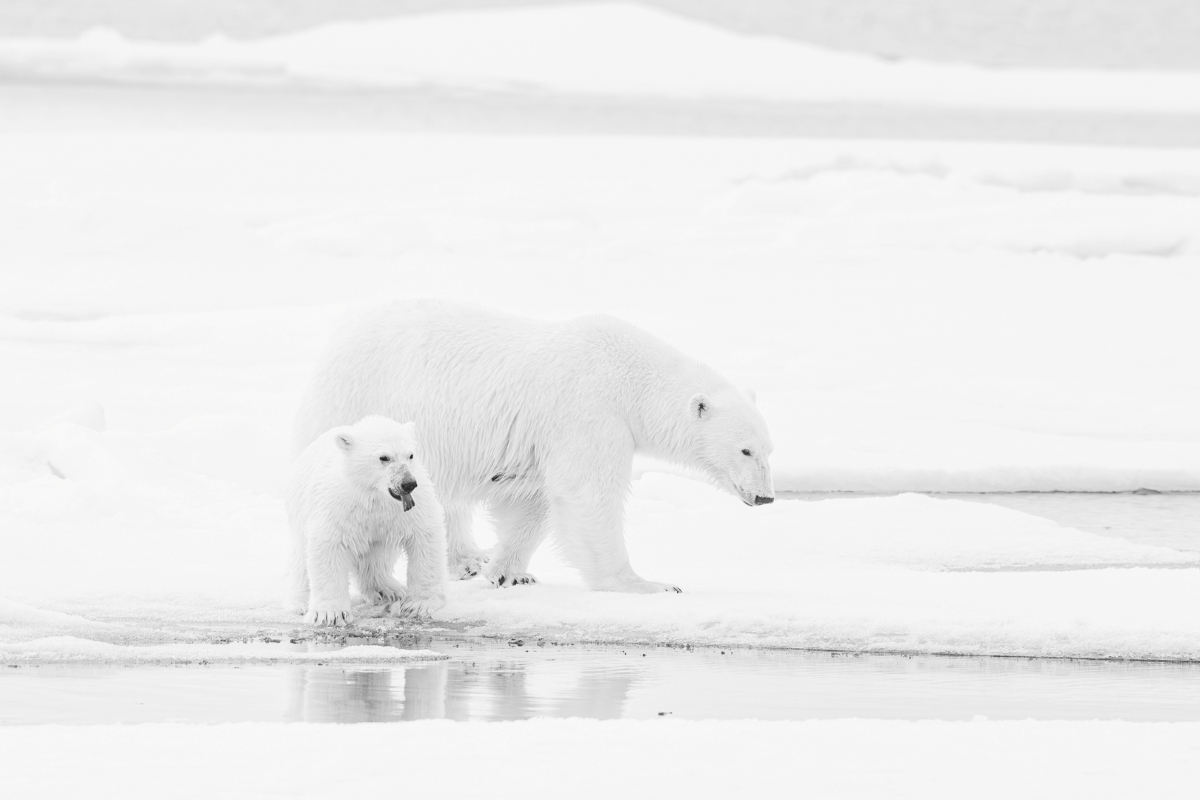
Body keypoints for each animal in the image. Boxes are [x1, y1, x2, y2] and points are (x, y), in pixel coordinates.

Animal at [285, 415, 448, 626]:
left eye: (411, 455)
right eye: (384, 457)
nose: (408, 484)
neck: (376, 495)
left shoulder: (409, 509)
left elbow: (425, 536)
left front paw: (418, 605)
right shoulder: (338, 505)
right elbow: (329, 545)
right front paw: (330, 613)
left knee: (376, 555)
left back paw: (389, 589)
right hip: (299, 510)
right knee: (300, 558)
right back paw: (300, 602)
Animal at [293, 299, 775, 594]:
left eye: (769, 449)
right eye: (745, 450)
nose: (766, 496)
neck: (629, 378)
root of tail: (334, 342)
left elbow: (533, 500)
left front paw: (507, 572)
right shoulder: (588, 413)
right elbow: (587, 496)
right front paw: (647, 584)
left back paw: (469, 558)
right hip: (361, 402)